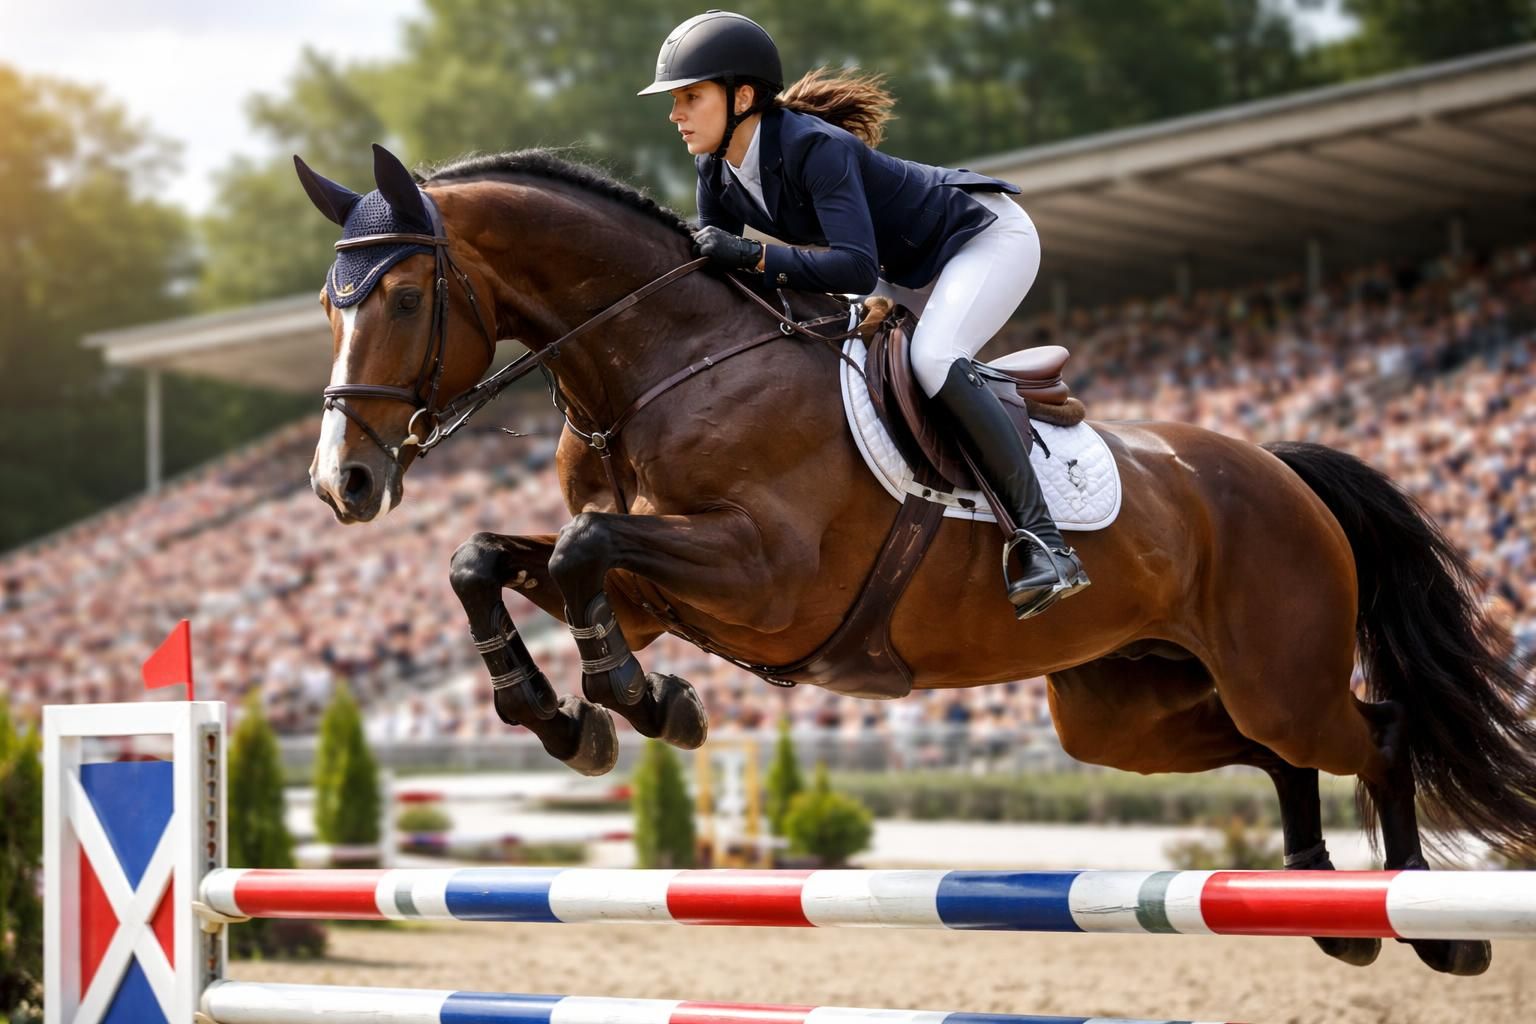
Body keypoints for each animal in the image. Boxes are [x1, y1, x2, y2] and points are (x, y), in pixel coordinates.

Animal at [299, 143, 1536, 976]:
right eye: (326, 302)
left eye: (403, 294)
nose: (341, 484)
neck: (660, 365)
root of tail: (1277, 466)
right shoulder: (654, 591)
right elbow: (493, 559)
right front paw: (573, 716)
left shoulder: (767, 579)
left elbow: (581, 549)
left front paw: (633, 702)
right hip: (1125, 711)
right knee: (1276, 754)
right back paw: (1326, 906)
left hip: (1277, 667)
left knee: (1376, 730)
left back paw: (1430, 924)